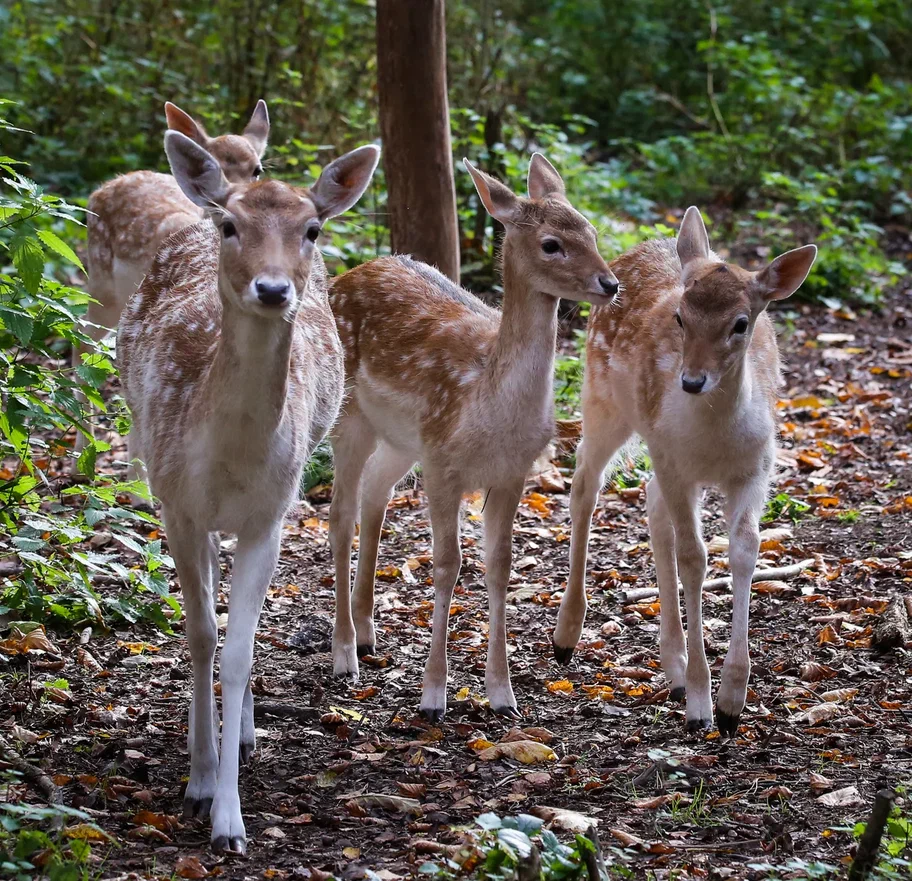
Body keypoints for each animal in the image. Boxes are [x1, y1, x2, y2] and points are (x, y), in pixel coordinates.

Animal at [116, 127, 378, 848]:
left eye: (312, 227)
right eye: (232, 226)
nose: (272, 287)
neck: (231, 458)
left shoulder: (271, 514)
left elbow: (238, 648)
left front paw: (231, 820)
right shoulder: (178, 505)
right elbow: (201, 635)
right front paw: (201, 780)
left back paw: (248, 731)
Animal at [328, 155, 620, 720]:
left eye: (593, 230)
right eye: (552, 243)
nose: (610, 283)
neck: (489, 404)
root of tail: (340, 279)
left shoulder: (511, 472)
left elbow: (500, 567)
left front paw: (502, 694)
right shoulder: (444, 463)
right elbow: (446, 566)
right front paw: (433, 695)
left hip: (402, 440)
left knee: (375, 495)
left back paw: (369, 633)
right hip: (349, 415)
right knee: (339, 516)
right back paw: (345, 654)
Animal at [556, 208, 820, 736]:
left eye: (741, 323)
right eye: (680, 317)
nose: (691, 380)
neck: (714, 443)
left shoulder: (755, 469)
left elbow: (744, 550)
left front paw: (732, 703)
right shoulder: (676, 462)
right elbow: (694, 558)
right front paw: (702, 704)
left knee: (651, 504)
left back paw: (673, 669)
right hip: (602, 400)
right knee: (585, 487)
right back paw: (567, 637)